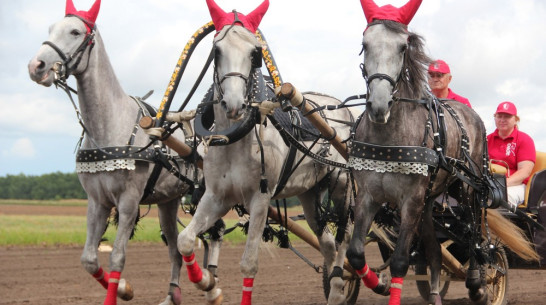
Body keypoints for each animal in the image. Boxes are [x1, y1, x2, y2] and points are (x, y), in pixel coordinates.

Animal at [27, 1, 198, 302]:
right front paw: (124, 289)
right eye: (50, 29)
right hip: (168, 201)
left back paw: (209, 283)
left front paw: (119, 289)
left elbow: (117, 256)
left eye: (75, 31)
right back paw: (174, 293)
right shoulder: (98, 201)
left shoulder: (129, 201)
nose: (36, 66)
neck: (108, 128)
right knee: (175, 246)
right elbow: (88, 259)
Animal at [174, 0, 356, 304]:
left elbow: (249, 264)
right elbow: (185, 240)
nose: (234, 104)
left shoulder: (260, 198)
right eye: (216, 50)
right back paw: (333, 288)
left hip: (341, 187)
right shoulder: (216, 197)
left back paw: (341, 286)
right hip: (310, 195)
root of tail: (343, 109)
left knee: (345, 238)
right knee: (328, 245)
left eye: (255, 53)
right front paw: (208, 284)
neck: (235, 140)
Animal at [346, 1, 532, 302]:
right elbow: (355, 254)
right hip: (430, 199)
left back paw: (479, 282)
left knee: (475, 235)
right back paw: (434, 291)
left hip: (468, 190)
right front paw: (379, 284)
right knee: (434, 249)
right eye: (365, 44)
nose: (379, 105)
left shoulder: (410, 200)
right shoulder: (368, 196)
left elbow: (400, 260)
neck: (390, 141)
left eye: (403, 47)